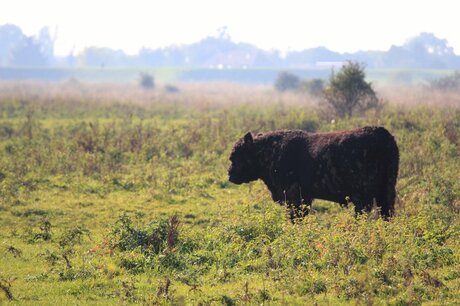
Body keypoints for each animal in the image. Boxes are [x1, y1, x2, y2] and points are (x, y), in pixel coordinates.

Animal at [229, 126, 398, 220]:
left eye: (235, 156)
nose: (230, 174)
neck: (268, 151)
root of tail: (383, 136)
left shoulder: (294, 199)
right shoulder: (305, 198)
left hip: (363, 197)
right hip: (386, 192)